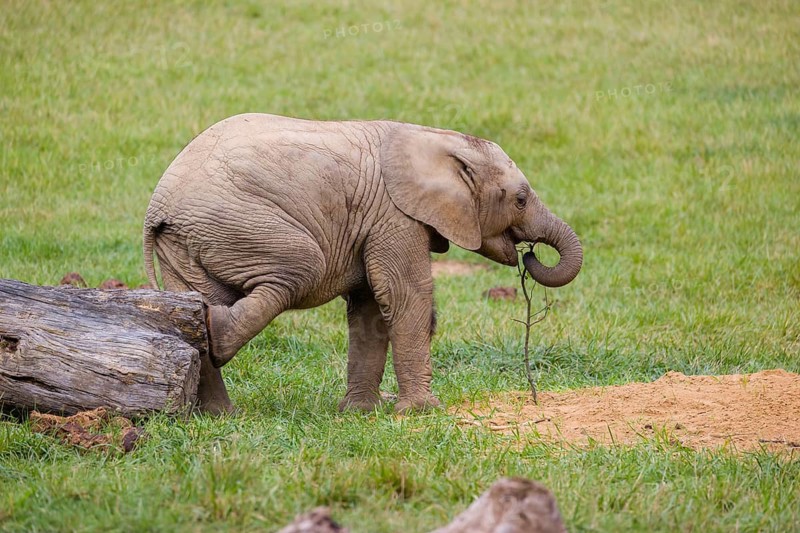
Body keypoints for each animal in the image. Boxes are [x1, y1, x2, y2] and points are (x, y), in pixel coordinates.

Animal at [143, 114, 582, 415]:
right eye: (520, 200)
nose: (529, 253)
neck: (434, 138)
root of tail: (158, 204)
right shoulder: (394, 216)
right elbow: (405, 295)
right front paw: (422, 412)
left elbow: (371, 308)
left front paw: (360, 413)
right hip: (238, 221)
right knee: (300, 270)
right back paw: (217, 334)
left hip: (189, 241)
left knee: (195, 301)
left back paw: (220, 413)